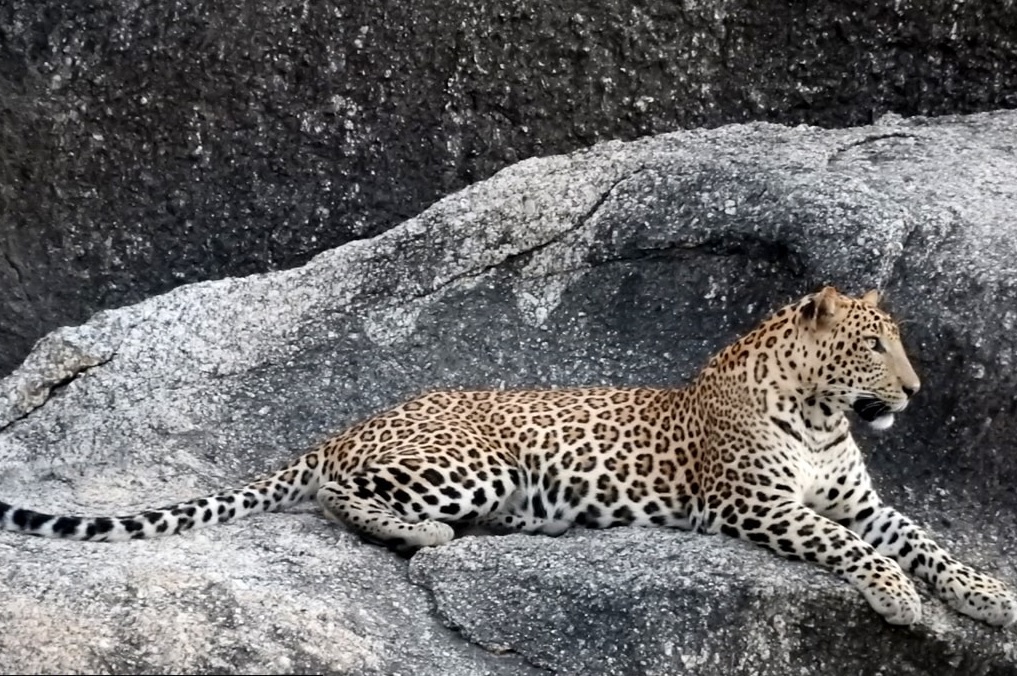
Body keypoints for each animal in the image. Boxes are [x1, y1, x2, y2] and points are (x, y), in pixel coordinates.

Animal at [1, 284, 1016, 626]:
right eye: (874, 348)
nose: (915, 393)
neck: (818, 415)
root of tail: (342, 424)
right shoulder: (756, 504)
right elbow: (855, 548)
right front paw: (896, 599)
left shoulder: (855, 497)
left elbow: (921, 539)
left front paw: (985, 596)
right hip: (472, 460)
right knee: (338, 495)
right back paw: (432, 537)